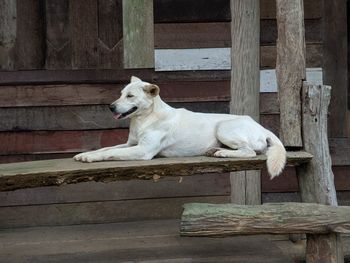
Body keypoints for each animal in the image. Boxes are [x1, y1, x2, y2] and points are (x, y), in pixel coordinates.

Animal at [73, 76, 284, 179]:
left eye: (130, 96)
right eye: (121, 93)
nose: (111, 107)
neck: (144, 118)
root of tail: (261, 127)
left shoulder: (143, 150)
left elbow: (109, 153)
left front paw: (90, 158)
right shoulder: (130, 144)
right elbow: (106, 148)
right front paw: (84, 154)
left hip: (223, 128)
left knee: (249, 151)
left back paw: (223, 153)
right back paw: (214, 150)